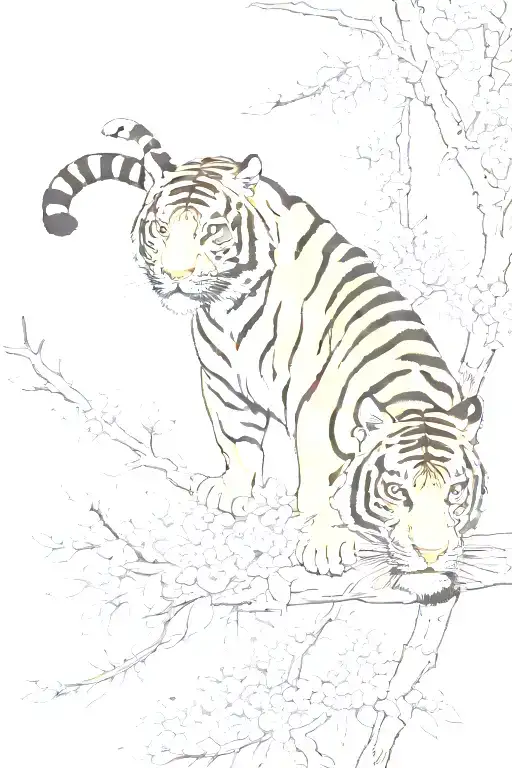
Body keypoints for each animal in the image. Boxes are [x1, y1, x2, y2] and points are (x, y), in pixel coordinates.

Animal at [42, 118, 486, 604]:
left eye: (212, 230)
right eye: (161, 229)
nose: (176, 276)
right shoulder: (255, 398)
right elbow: (267, 459)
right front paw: (295, 526)